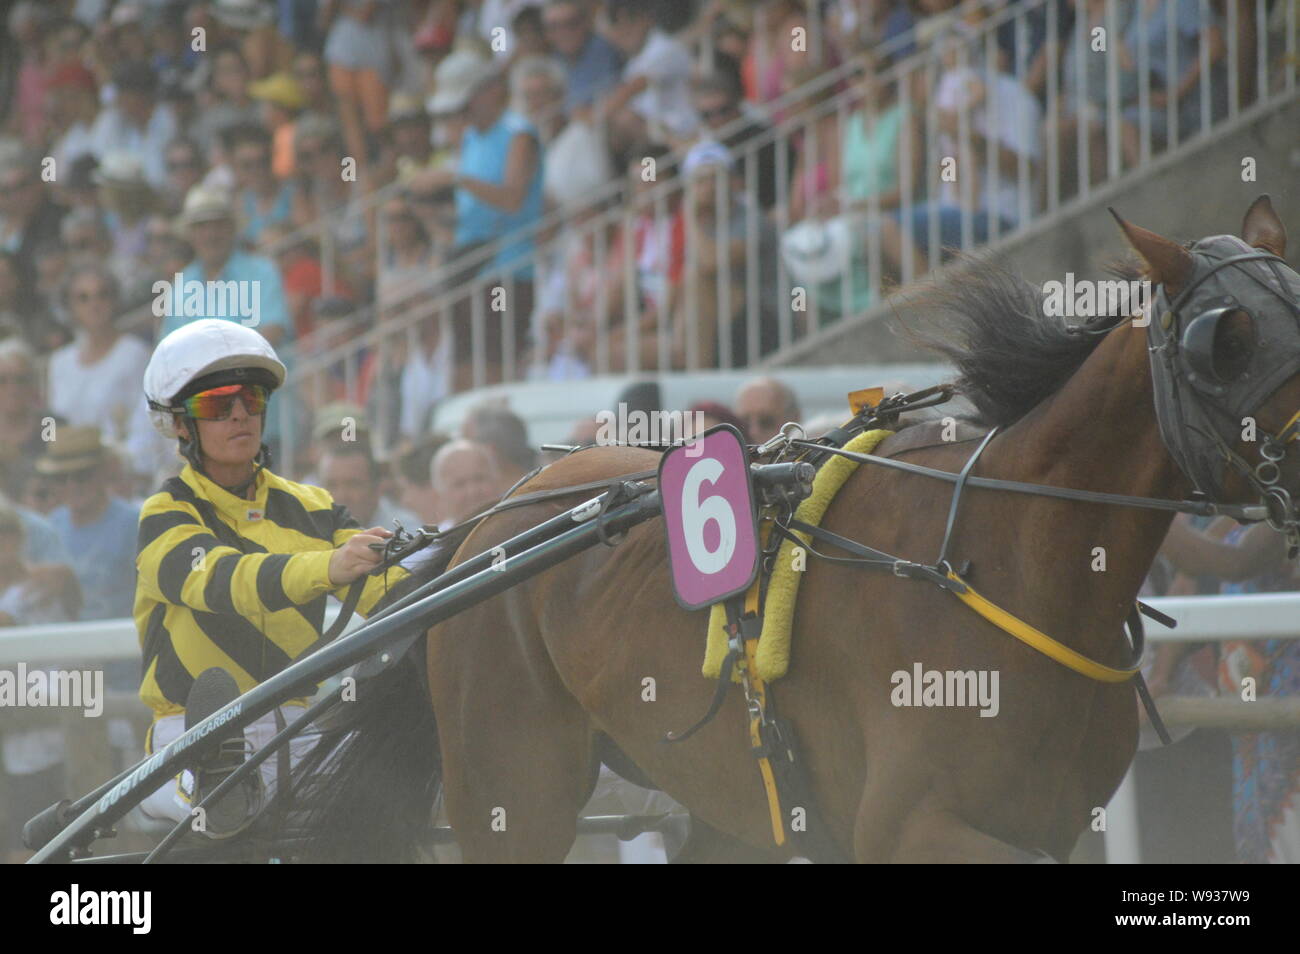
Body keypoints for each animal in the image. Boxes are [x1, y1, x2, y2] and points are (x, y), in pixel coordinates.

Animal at [292, 200, 1300, 868]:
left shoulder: (1052, 819)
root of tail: (493, 525)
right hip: (512, 790)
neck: (1012, 558)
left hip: (716, 800)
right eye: (1227, 340)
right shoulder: (910, 825)